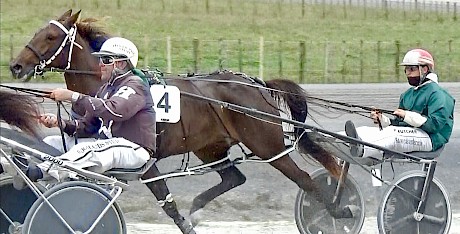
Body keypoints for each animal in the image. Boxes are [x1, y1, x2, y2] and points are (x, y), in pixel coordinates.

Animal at [9, 9, 354, 234]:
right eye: (37, 32)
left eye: (50, 36)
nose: (15, 66)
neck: (104, 83)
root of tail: (255, 83)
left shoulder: (144, 160)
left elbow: (167, 203)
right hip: (210, 148)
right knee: (234, 178)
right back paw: (198, 208)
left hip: (266, 145)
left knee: (305, 180)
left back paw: (337, 211)